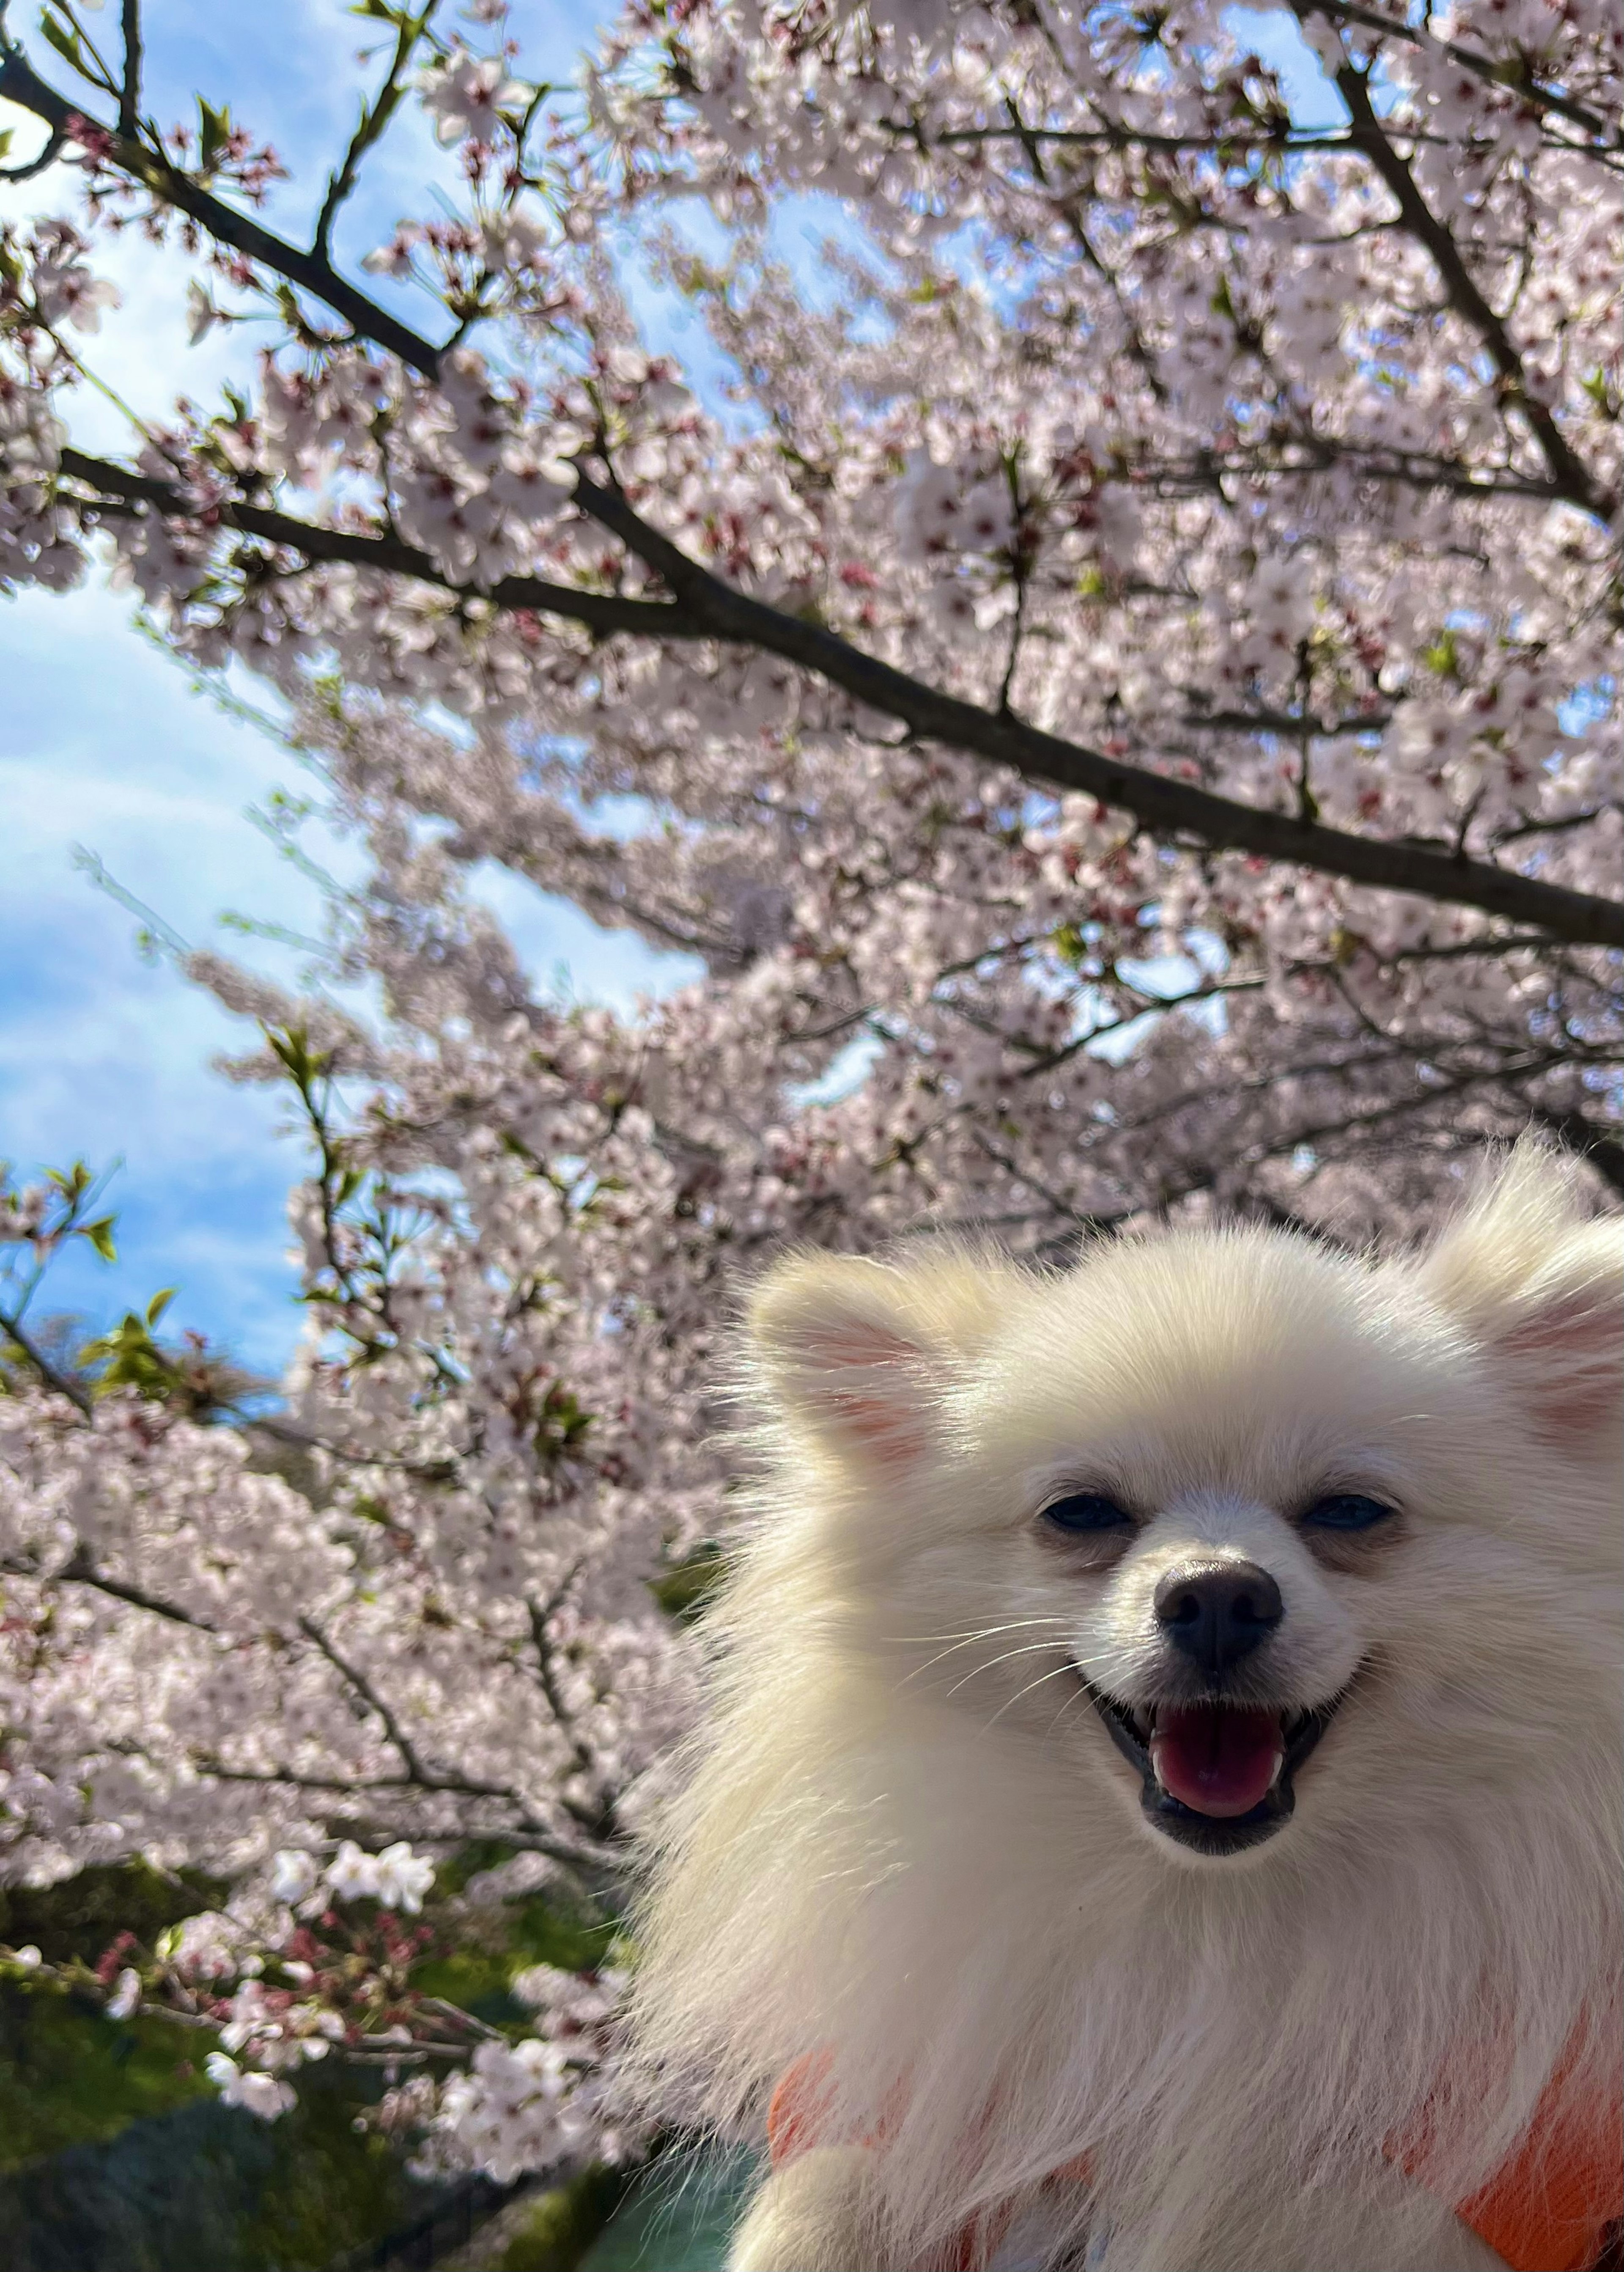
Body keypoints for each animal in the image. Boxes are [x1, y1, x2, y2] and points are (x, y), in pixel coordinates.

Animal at [627, 1154, 1617, 2272]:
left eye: (1351, 1511)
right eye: (1081, 1513)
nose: (1219, 1596)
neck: (1209, 1916)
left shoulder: (1456, 2186)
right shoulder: (929, 2090)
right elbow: (829, 2199)